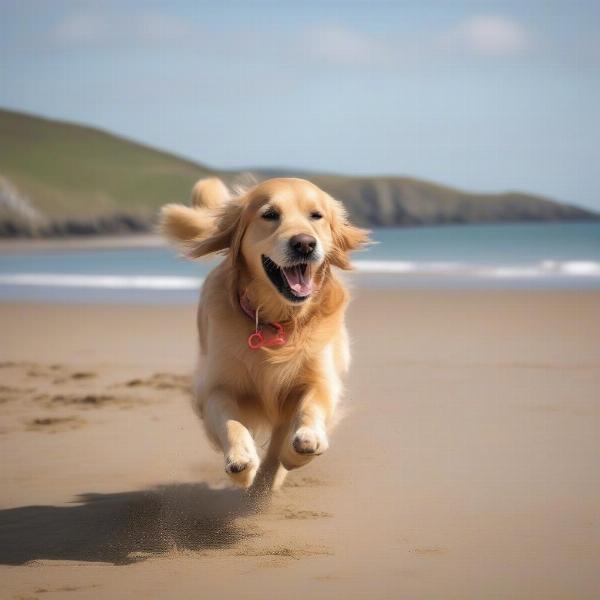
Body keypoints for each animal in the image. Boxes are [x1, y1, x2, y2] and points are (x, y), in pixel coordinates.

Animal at [162, 177, 370, 492]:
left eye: (316, 216)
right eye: (270, 214)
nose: (304, 243)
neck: (278, 320)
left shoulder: (320, 378)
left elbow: (310, 408)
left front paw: (305, 443)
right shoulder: (215, 387)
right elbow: (230, 422)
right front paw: (240, 461)